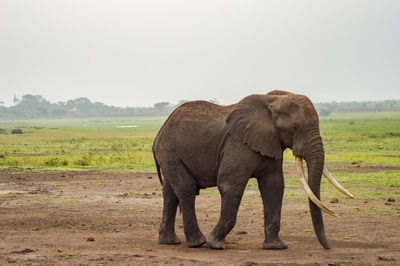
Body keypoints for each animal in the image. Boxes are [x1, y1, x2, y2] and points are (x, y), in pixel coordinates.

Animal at [152, 90, 352, 250]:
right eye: (295, 127)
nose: (328, 247)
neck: (273, 101)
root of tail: (161, 130)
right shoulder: (238, 143)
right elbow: (230, 184)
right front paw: (215, 244)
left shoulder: (272, 144)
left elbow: (274, 187)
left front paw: (275, 247)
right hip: (170, 151)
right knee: (186, 188)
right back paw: (198, 242)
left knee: (170, 192)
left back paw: (170, 242)